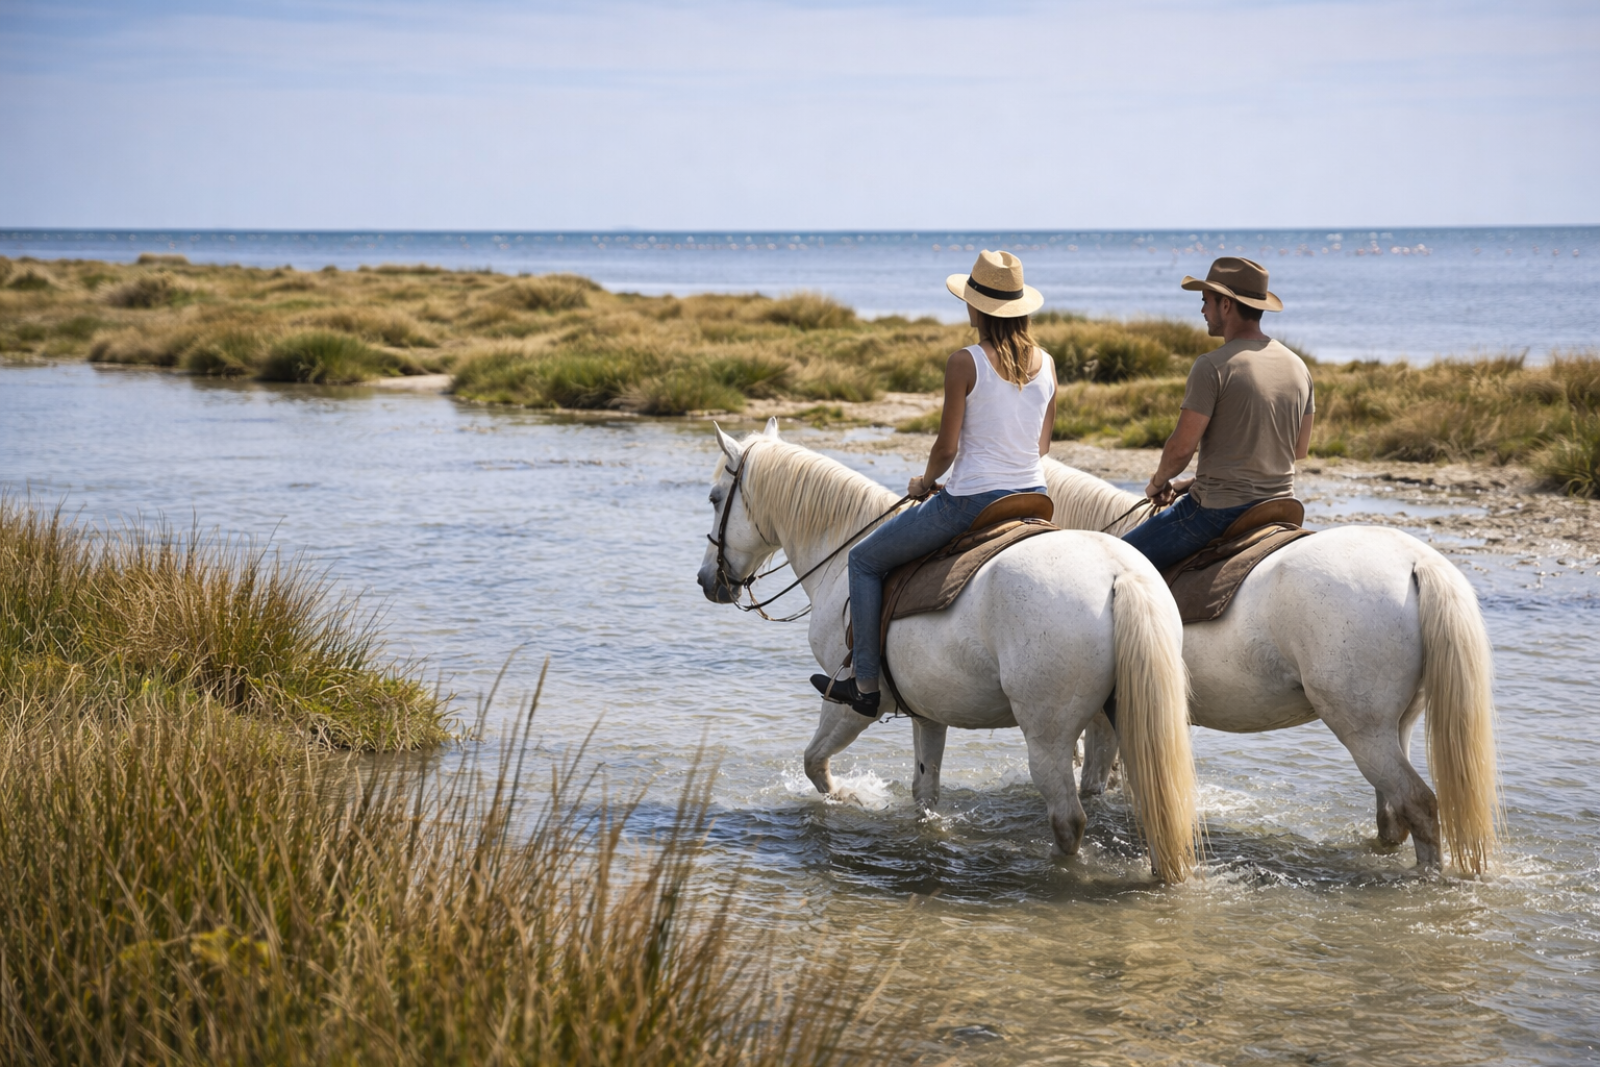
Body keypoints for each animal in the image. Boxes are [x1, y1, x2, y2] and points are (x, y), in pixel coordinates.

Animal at [695, 420, 1200, 883]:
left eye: (716, 498)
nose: (706, 581)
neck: (839, 559)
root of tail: (1119, 574)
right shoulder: (927, 710)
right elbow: (924, 792)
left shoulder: (851, 702)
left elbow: (815, 763)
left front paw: (855, 800)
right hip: (1128, 722)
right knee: (1155, 806)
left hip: (1048, 735)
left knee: (1069, 819)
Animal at [1040, 456, 1500, 874]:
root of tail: (1418, 562)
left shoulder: (1104, 719)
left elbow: (1095, 783)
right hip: (1398, 724)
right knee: (1393, 813)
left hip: (1363, 729)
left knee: (1418, 804)